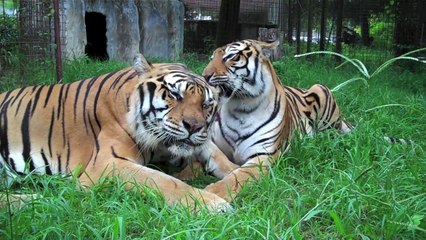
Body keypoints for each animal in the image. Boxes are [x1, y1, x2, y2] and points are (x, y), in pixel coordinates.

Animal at [0, 54, 236, 212]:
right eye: (174, 94)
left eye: (206, 104)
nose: (194, 126)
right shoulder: (108, 163)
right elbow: (163, 180)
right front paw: (213, 204)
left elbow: (216, 154)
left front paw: (238, 171)